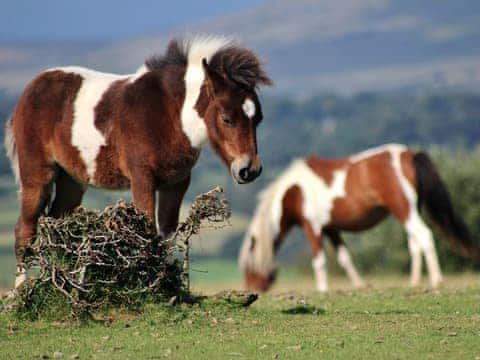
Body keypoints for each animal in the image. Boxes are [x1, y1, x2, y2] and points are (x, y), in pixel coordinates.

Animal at [5, 35, 272, 290]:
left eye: (259, 118)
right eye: (227, 119)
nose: (249, 170)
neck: (169, 115)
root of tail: (30, 90)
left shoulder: (176, 183)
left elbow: (166, 235)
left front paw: (169, 286)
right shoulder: (142, 179)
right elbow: (148, 230)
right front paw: (150, 285)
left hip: (71, 181)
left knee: (58, 224)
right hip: (37, 176)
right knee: (25, 230)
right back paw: (21, 291)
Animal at [240, 144, 476, 292]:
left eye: (249, 266)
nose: (252, 289)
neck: (294, 191)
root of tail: (409, 155)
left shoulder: (312, 226)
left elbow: (319, 260)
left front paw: (322, 289)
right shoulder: (331, 228)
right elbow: (345, 258)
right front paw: (360, 285)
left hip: (404, 209)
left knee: (424, 236)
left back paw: (436, 279)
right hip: (410, 210)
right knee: (414, 243)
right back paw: (415, 281)